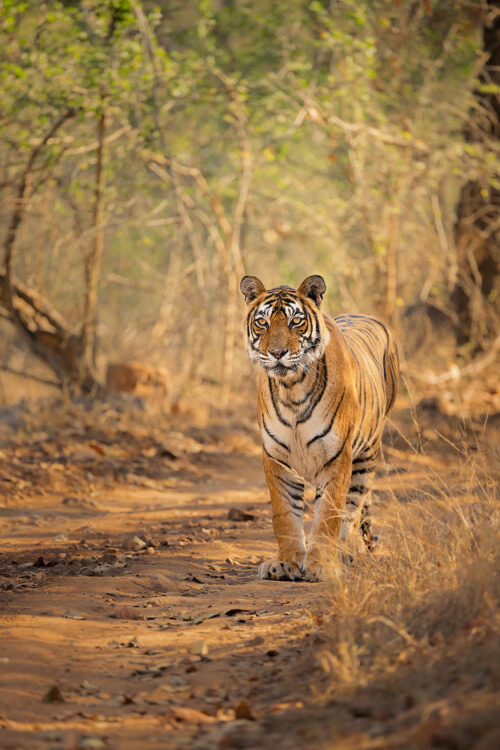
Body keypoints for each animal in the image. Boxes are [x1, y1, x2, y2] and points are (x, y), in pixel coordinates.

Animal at [240, 274, 400, 584]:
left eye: (295, 322)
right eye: (262, 322)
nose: (277, 353)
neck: (291, 388)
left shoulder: (336, 457)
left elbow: (328, 516)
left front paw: (321, 566)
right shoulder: (276, 458)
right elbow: (285, 516)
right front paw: (286, 564)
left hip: (367, 455)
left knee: (352, 510)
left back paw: (348, 552)